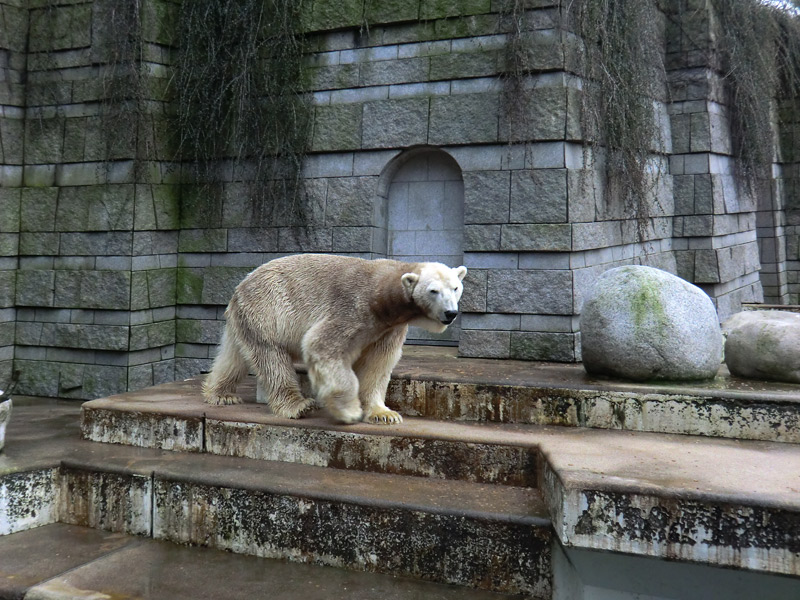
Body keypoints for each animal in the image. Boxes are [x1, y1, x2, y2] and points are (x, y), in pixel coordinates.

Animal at [202, 255, 468, 424]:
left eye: (455, 288)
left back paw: (221, 394)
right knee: (271, 357)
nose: (450, 313)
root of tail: (239, 287)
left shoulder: (389, 329)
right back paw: (297, 405)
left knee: (234, 356)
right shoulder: (354, 309)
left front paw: (384, 414)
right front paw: (349, 411)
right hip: (267, 308)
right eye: (433, 290)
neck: (383, 298)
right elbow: (321, 346)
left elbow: (378, 364)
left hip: (246, 317)